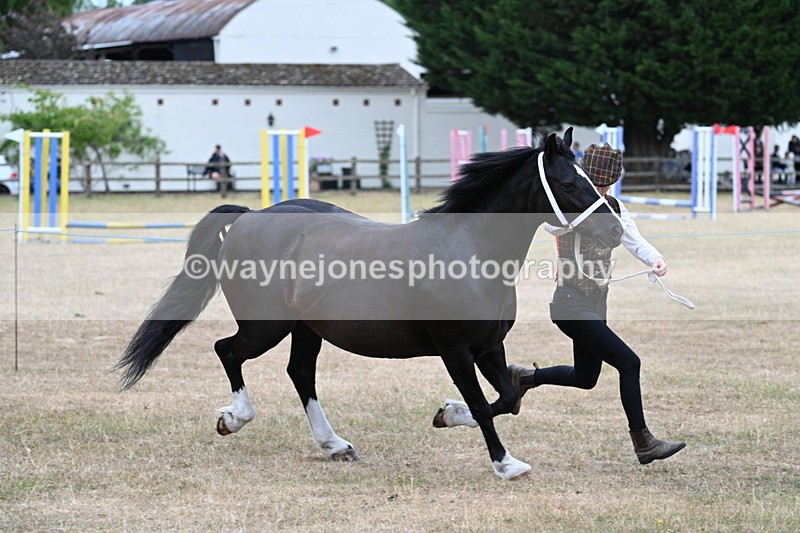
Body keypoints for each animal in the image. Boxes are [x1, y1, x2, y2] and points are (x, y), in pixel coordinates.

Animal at [115, 129, 624, 480]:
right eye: (568, 182)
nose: (616, 230)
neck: (469, 249)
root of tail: (250, 217)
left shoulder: (489, 347)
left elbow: (509, 397)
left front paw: (446, 414)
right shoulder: (455, 350)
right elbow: (484, 405)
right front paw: (506, 464)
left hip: (306, 329)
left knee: (299, 373)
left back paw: (335, 445)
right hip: (266, 326)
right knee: (228, 350)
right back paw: (233, 418)